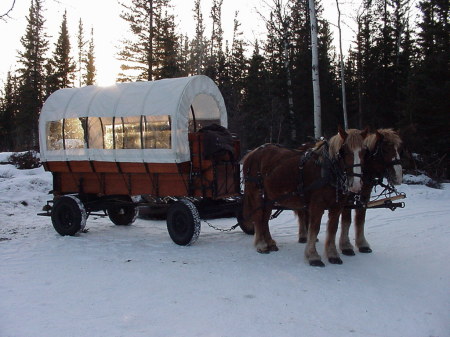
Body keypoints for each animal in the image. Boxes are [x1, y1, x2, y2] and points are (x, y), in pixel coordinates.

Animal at [243, 128, 366, 266]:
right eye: (344, 151)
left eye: (363, 151)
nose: (356, 184)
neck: (328, 169)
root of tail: (252, 153)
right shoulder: (317, 205)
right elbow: (314, 229)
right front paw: (313, 256)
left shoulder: (337, 206)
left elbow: (332, 229)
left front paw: (332, 255)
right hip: (256, 193)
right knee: (258, 216)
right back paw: (261, 244)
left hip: (270, 197)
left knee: (264, 218)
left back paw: (269, 242)